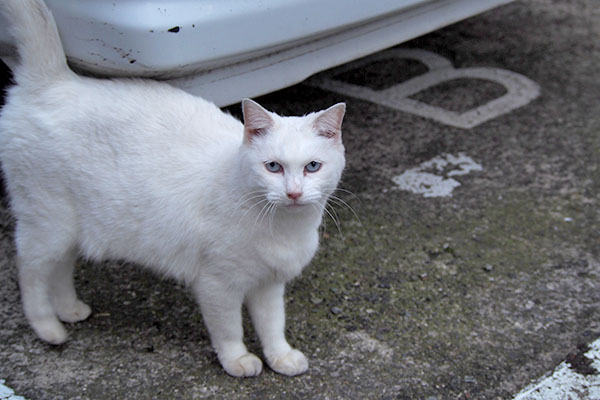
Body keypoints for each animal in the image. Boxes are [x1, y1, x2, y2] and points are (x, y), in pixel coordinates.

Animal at [0, 0, 344, 378]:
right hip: (48, 226)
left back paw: (69, 309)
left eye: (312, 167)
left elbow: (272, 325)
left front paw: (280, 357)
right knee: (30, 272)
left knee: (60, 269)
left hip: (71, 231)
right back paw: (48, 328)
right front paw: (237, 360)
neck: (283, 226)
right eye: (273, 167)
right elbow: (229, 329)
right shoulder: (217, 285)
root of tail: (54, 81)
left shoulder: (268, 284)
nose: (294, 193)